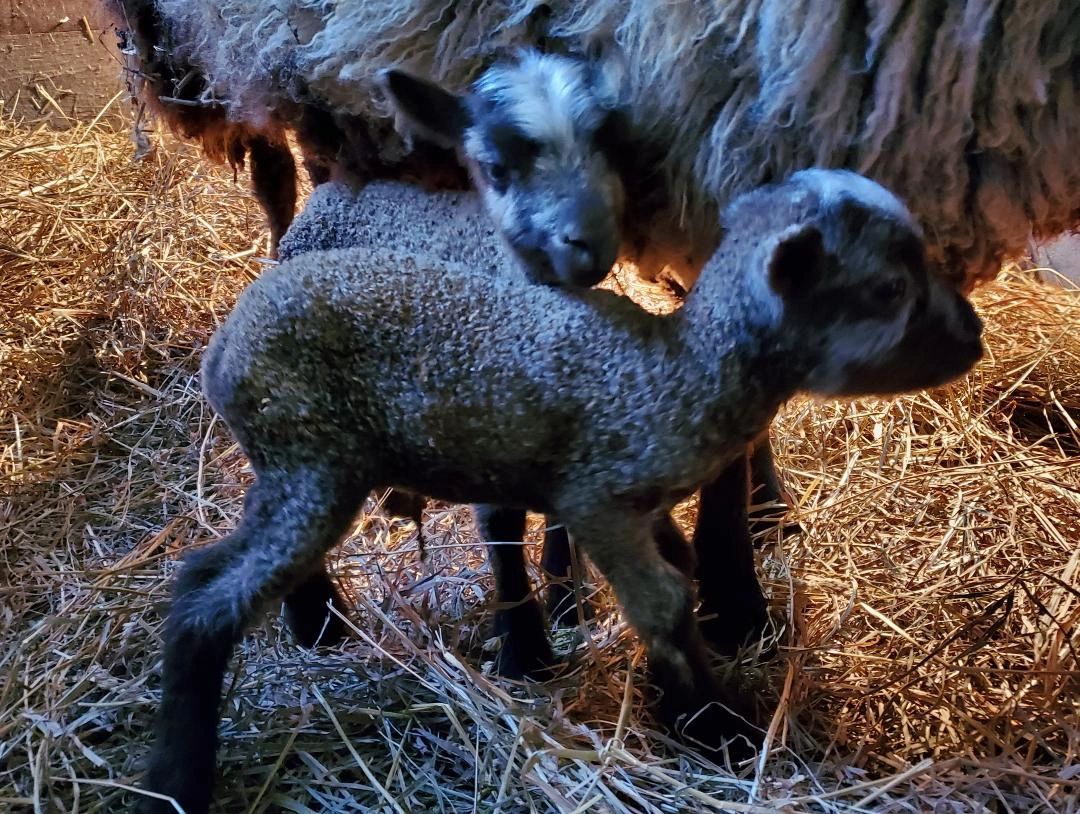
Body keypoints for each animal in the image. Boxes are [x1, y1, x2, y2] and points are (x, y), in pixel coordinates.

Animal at [138, 169, 984, 813]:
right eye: (887, 287)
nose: (973, 336)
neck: (685, 367)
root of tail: (225, 345)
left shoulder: (637, 505)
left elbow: (678, 571)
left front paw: (677, 693)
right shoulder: (597, 500)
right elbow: (663, 603)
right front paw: (718, 726)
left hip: (297, 463)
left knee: (209, 566)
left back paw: (309, 626)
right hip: (315, 459)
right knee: (208, 599)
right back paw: (181, 776)